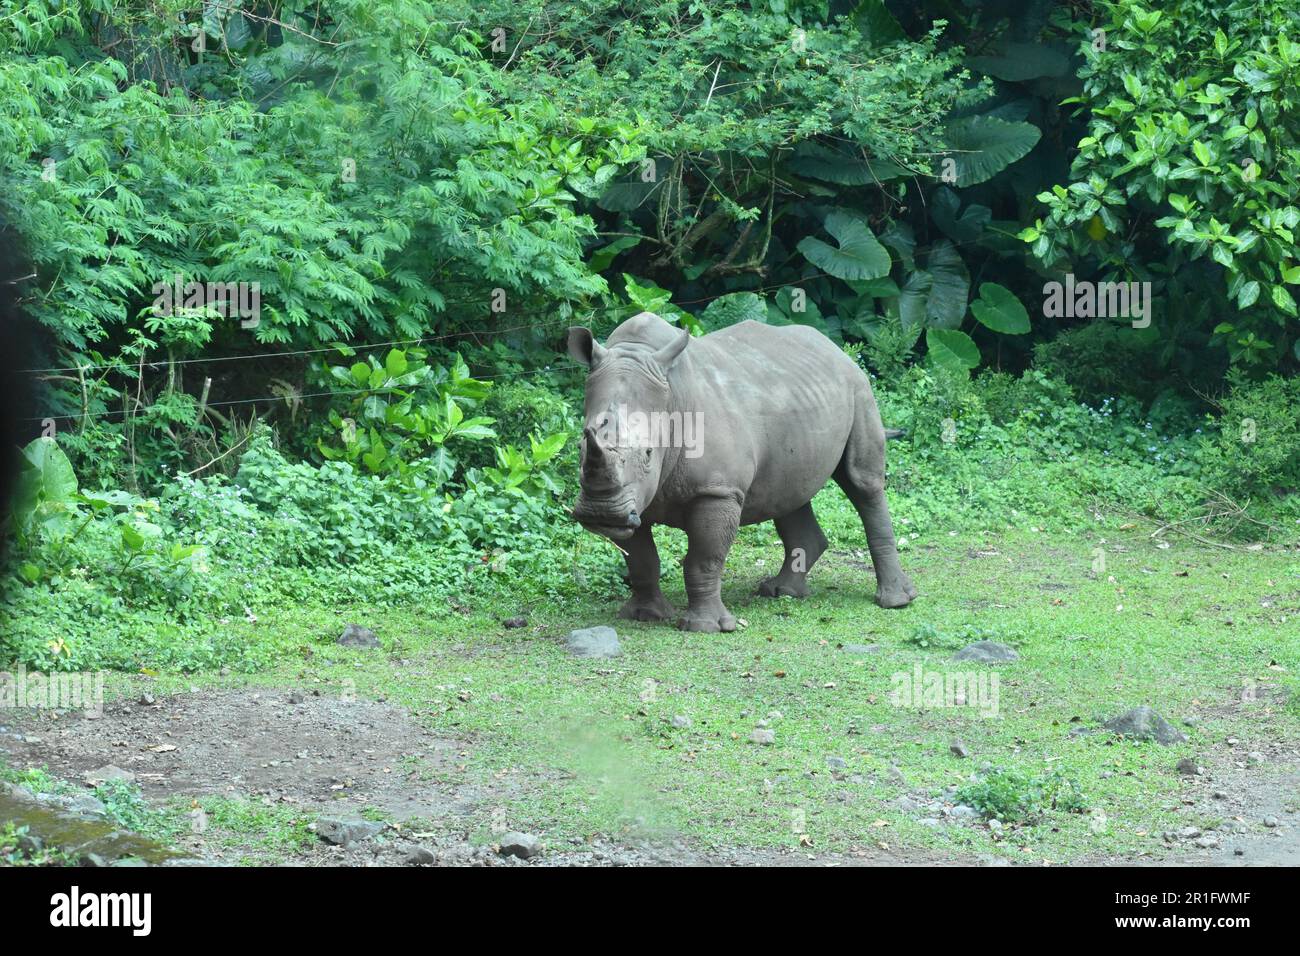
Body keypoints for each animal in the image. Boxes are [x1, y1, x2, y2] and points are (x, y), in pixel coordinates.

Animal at [567, 312, 915, 632]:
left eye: (648, 454)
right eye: (581, 446)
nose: (601, 513)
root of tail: (835, 349)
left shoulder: (718, 490)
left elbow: (704, 560)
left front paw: (705, 627)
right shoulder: (634, 498)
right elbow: (640, 559)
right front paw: (644, 615)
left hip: (859, 389)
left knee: (862, 483)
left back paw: (895, 601)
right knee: (788, 493)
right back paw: (780, 591)